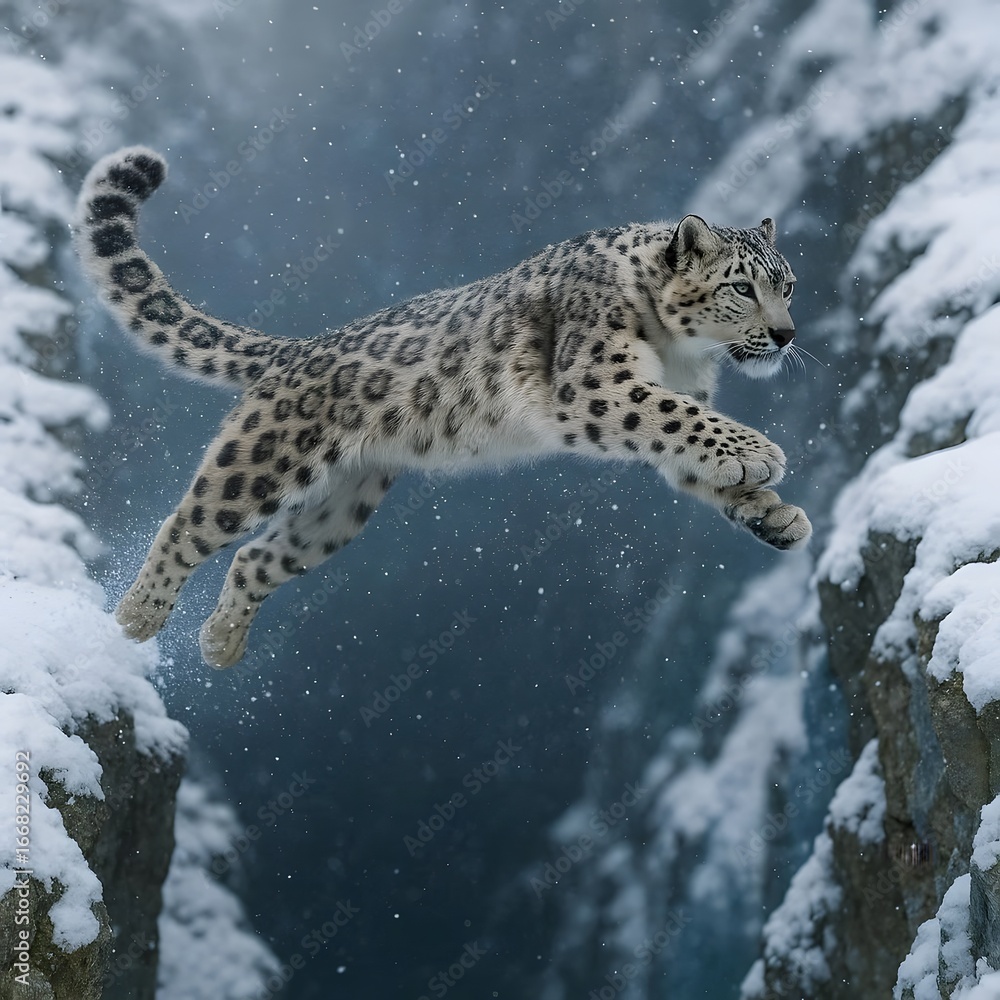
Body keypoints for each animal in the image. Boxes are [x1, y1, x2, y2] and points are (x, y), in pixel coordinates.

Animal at [75, 146, 811, 669]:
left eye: (789, 284)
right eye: (742, 287)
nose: (786, 334)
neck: (685, 352)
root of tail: (300, 348)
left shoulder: (667, 411)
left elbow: (695, 449)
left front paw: (777, 516)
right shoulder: (597, 386)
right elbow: (683, 421)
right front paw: (762, 452)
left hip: (340, 509)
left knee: (257, 556)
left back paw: (219, 643)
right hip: (262, 461)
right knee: (188, 522)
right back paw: (135, 620)